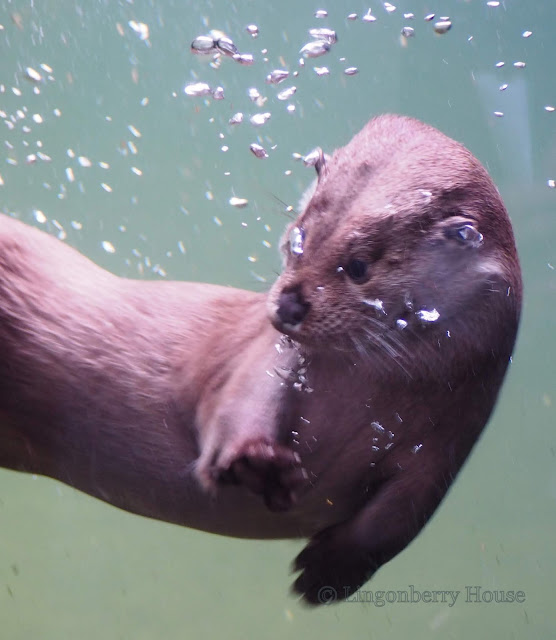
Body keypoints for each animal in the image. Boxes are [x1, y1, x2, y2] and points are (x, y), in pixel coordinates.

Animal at [0, 116, 520, 604]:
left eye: (358, 267)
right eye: (299, 237)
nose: (288, 304)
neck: (369, 399)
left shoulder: (449, 437)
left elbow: (397, 521)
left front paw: (329, 572)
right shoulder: (259, 358)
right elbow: (236, 402)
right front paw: (256, 463)